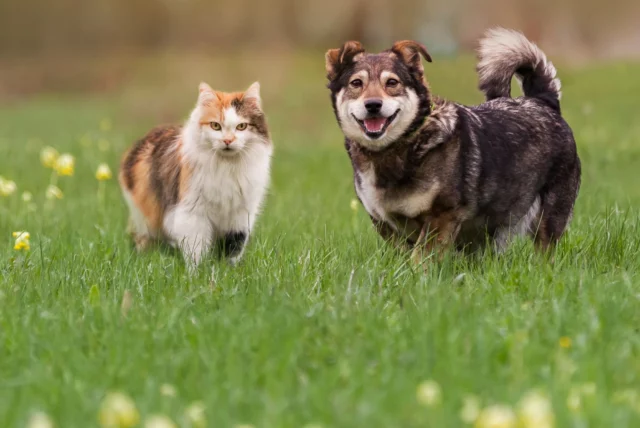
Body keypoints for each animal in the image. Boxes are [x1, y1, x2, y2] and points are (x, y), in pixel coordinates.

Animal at [119, 82, 272, 270]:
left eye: (241, 126)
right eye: (215, 126)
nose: (228, 141)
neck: (227, 168)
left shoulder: (240, 216)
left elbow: (233, 248)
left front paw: (228, 272)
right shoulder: (192, 214)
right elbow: (195, 250)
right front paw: (198, 274)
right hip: (146, 217)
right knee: (143, 239)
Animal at [328, 29, 584, 260]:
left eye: (392, 82)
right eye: (356, 83)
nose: (373, 105)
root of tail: (542, 101)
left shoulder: (441, 217)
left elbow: (420, 260)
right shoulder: (386, 225)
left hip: (548, 217)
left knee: (545, 251)